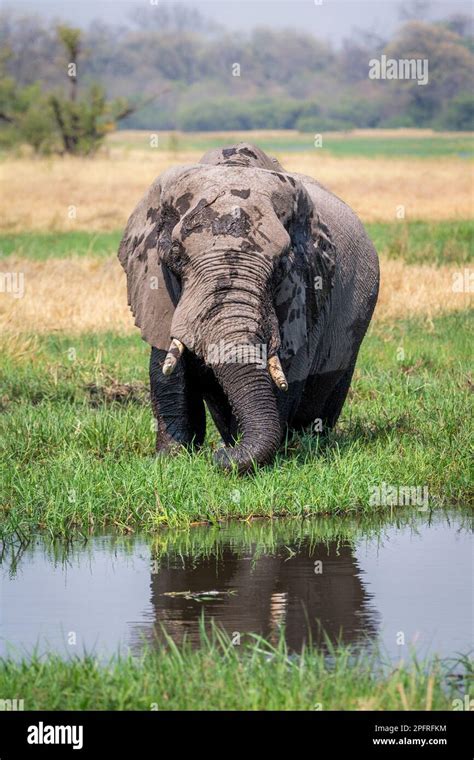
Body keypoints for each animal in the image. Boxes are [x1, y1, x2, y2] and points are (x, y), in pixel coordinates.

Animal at [117, 143, 378, 472]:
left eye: (282, 264)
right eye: (175, 255)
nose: (219, 455)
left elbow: (283, 377)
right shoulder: (157, 291)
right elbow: (167, 372)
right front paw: (172, 460)